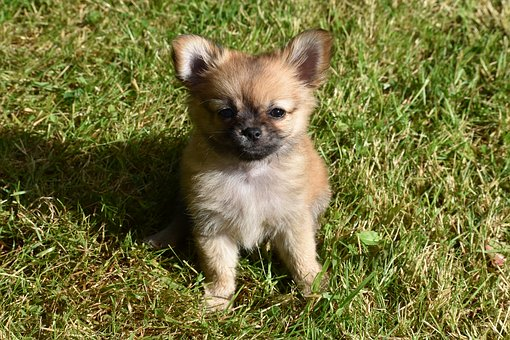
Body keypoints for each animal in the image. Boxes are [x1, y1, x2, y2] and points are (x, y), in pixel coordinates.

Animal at [145, 29, 332, 310]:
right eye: (226, 112)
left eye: (277, 112)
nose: (251, 130)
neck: (248, 173)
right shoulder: (213, 226)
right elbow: (218, 267)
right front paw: (218, 298)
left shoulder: (293, 223)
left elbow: (303, 258)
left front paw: (314, 288)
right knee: (179, 219)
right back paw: (162, 238)